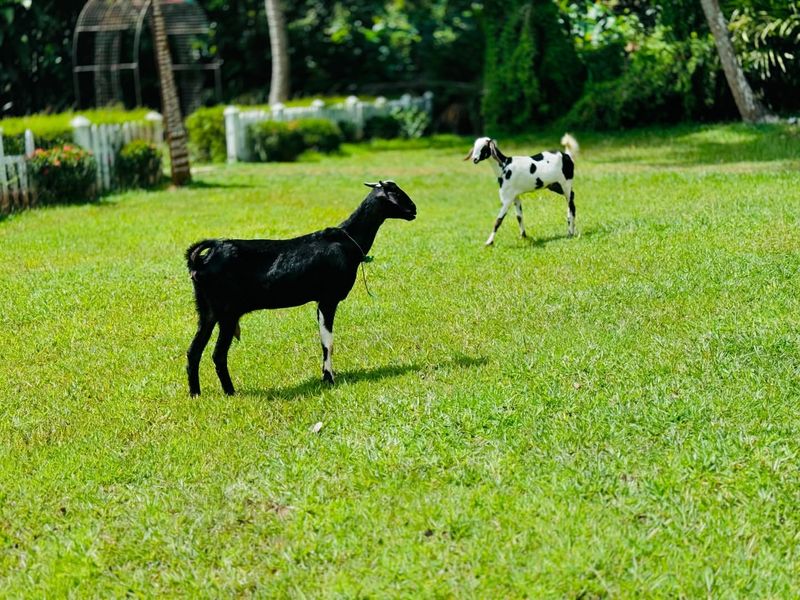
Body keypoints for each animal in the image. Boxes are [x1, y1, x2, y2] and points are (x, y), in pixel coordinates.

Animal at [184, 180, 416, 396]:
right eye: (395, 192)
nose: (414, 209)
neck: (347, 240)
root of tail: (201, 260)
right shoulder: (328, 298)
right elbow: (328, 341)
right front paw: (329, 379)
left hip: (207, 312)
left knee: (193, 352)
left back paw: (196, 394)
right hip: (227, 313)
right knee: (218, 354)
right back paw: (230, 392)